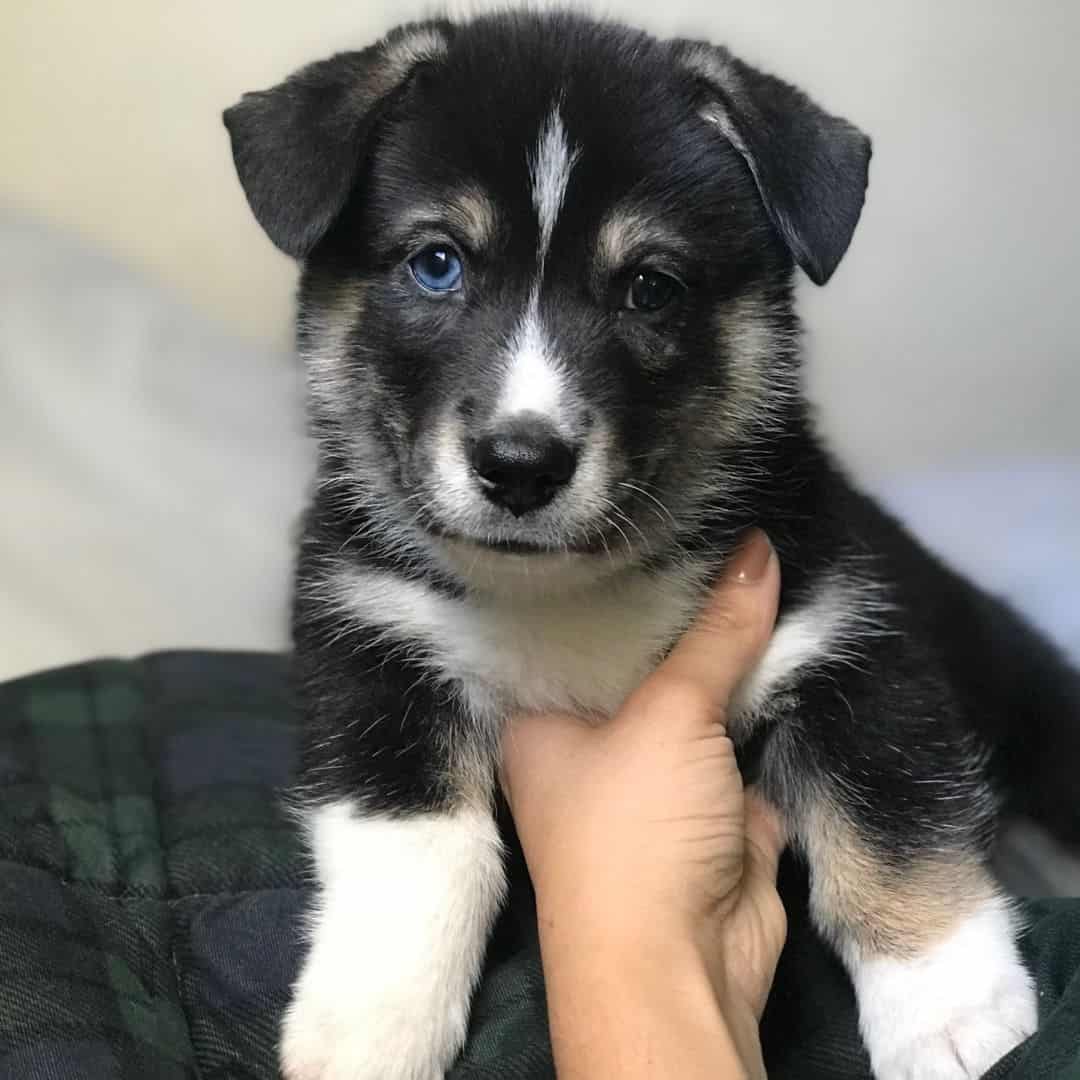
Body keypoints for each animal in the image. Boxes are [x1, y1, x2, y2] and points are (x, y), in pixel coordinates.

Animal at [223, 10, 1075, 1080]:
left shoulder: (847, 639)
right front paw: (370, 1023)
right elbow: (418, 846)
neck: (566, 589)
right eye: (436, 262)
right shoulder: (370, 652)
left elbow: (893, 818)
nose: (521, 465)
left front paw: (955, 1015)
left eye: (651, 287)